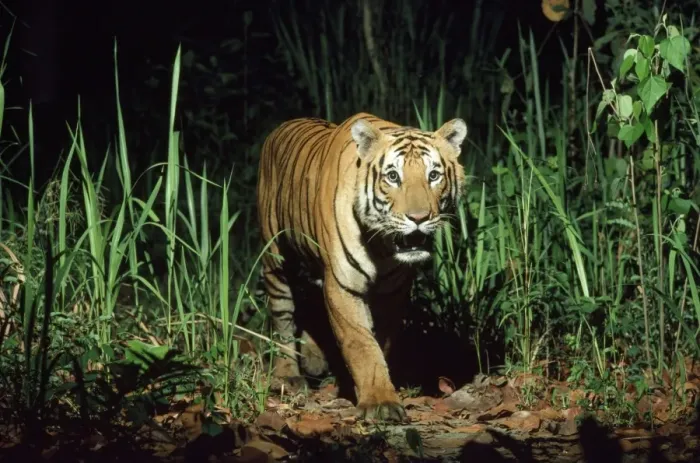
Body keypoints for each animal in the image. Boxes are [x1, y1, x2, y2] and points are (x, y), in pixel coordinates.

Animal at [256, 112, 467, 422]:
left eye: (433, 175)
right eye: (393, 176)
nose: (419, 218)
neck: (382, 248)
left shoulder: (392, 293)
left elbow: (381, 342)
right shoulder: (343, 285)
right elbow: (361, 344)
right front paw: (380, 403)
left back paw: (314, 359)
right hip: (277, 260)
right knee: (283, 317)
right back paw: (289, 376)